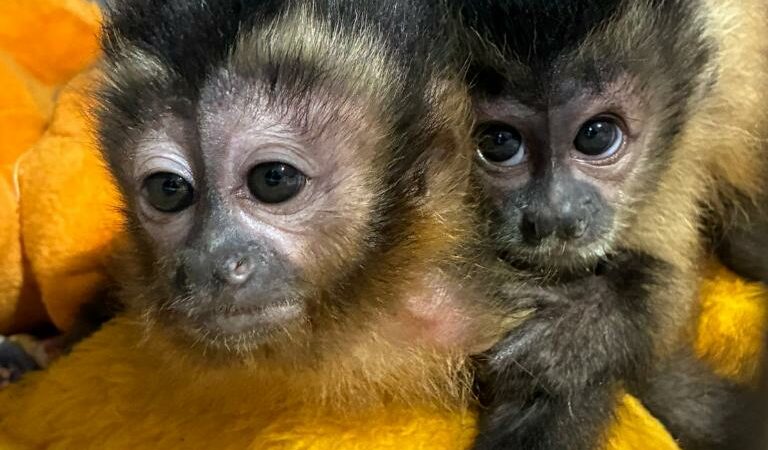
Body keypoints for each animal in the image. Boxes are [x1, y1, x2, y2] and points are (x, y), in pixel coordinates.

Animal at [447, 1, 768, 449]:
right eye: (499, 142)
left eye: (596, 136)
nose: (554, 217)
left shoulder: (688, 135)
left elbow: (668, 299)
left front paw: (588, 326)